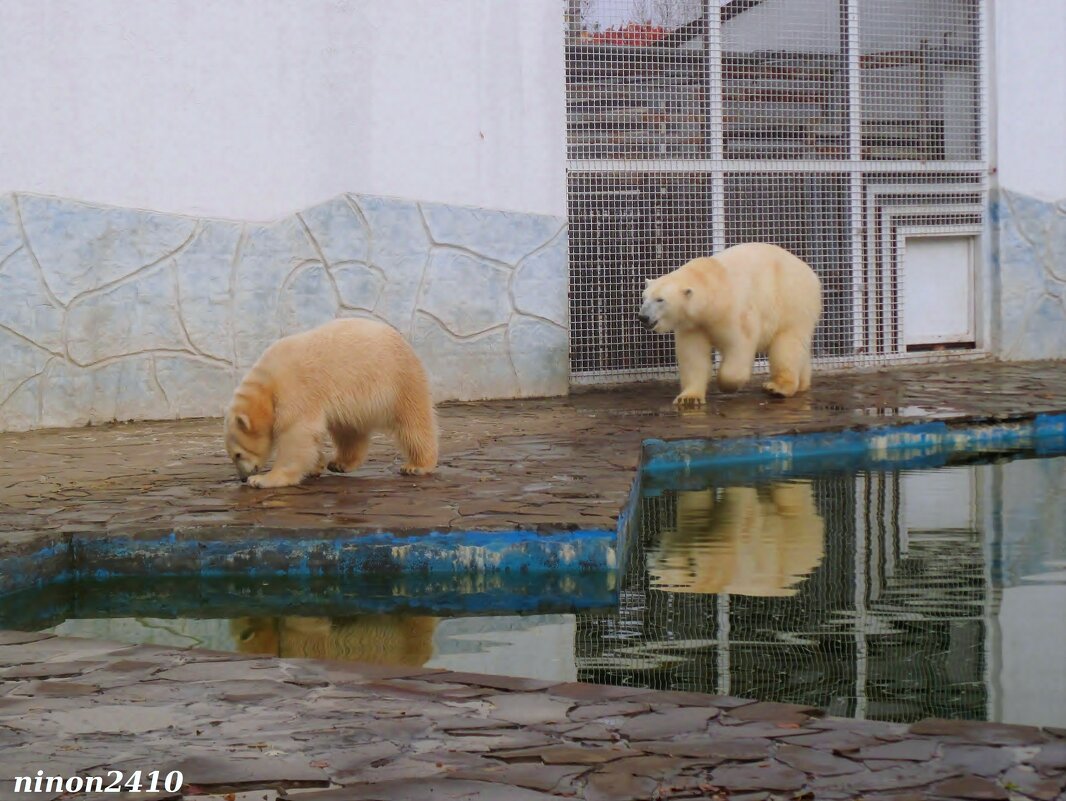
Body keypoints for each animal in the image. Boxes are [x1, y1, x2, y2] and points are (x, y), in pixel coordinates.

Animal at [222, 319, 439, 488]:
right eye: (232, 455)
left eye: (238, 454)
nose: (243, 478)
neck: (267, 382)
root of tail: (402, 339)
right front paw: (316, 466)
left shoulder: (294, 390)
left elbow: (296, 434)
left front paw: (263, 480)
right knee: (348, 431)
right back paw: (341, 463)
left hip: (398, 379)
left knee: (413, 422)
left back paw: (416, 465)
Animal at [635, 243, 818, 407]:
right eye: (644, 297)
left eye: (660, 299)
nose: (643, 317)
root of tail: (810, 273)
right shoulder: (693, 325)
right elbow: (693, 356)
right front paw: (688, 398)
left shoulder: (735, 313)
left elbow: (739, 345)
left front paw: (726, 384)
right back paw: (802, 384)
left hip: (792, 300)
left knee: (787, 345)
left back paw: (777, 387)